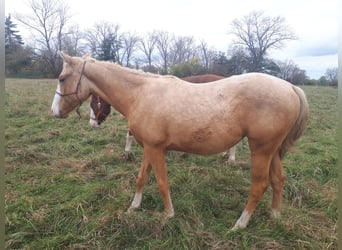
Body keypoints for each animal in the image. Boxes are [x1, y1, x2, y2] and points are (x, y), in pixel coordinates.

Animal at [88, 73, 236, 163]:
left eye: (93, 103)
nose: (92, 124)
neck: (138, 92)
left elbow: (129, 135)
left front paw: (127, 152)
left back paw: (231, 158)